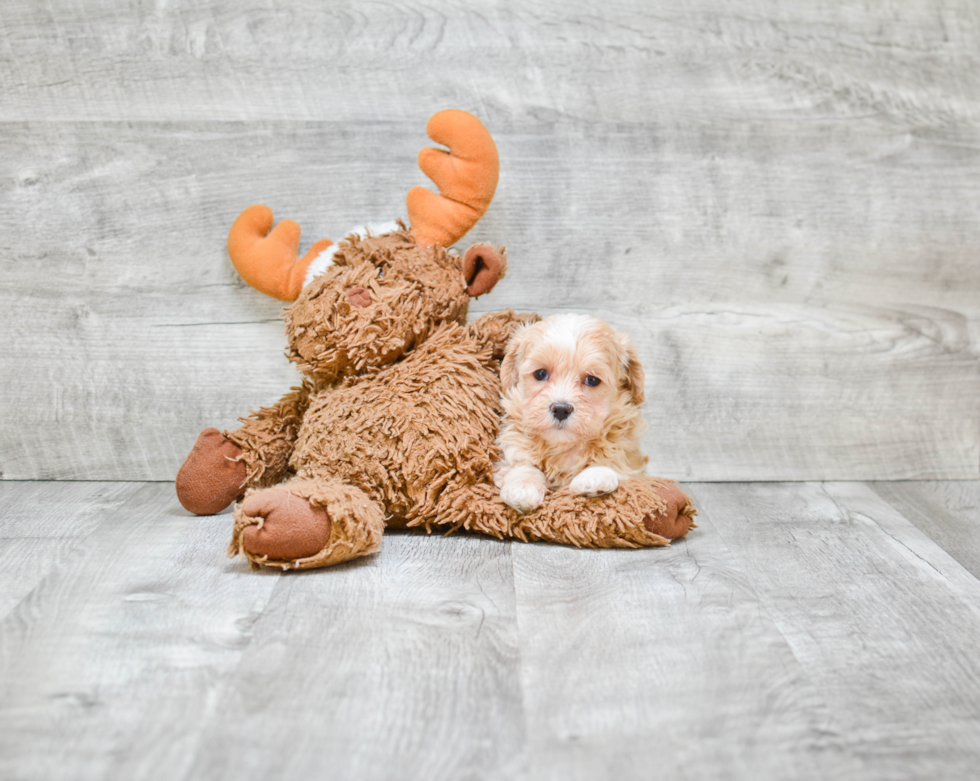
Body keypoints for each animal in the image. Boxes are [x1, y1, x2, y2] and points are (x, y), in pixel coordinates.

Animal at [494, 310, 648, 512]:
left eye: (592, 380)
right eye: (540, 373)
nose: (560, 409)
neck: (564, 447)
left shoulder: (629, 458)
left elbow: (613, 460)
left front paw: (595, 475)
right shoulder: (514, 444)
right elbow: (521, 464)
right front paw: (523, 487)